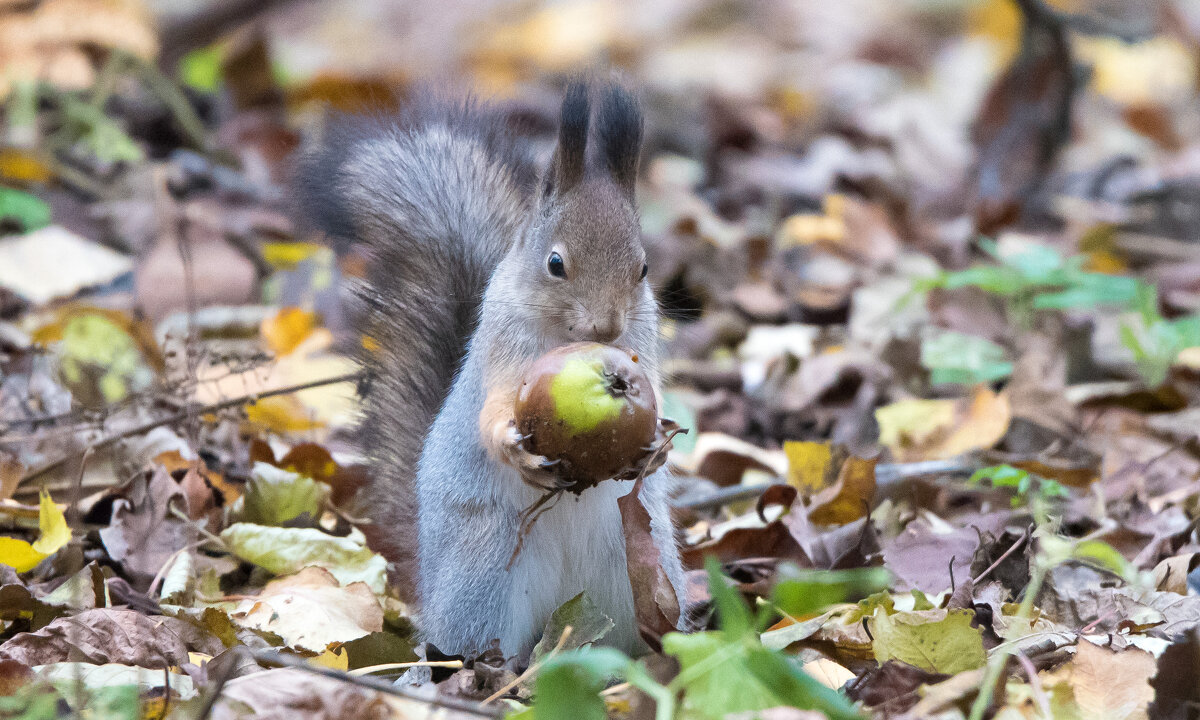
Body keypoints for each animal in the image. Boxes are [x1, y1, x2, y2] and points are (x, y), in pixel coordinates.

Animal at [296, 78, 691, 657]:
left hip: (639, 567)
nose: (606, 328)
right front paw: (512, 447)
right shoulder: (502, 351)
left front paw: (659, 441)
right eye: (555, 264)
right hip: (483, 579)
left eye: (643, 268)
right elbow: (493, 412)